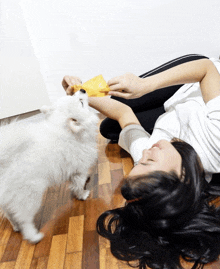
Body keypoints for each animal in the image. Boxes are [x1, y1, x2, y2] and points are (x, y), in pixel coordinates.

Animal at [0, 89, 98, 243]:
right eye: (81, 102)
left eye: (73, 96)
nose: (82, 90)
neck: (67, 131)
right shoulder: (79, 170)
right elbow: (78, 184)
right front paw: (82, 194)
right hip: (29, 196)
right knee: (25, 220)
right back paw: (33, 236)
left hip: (9, 198)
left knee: (10, 214)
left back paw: (15, 226)